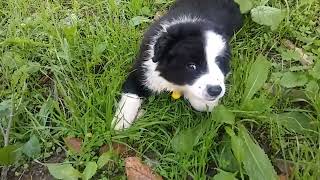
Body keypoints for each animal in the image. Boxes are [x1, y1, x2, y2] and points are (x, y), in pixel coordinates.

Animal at [111, 0, 241, 129]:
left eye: (219, 62)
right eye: (191, 66)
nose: (215, 91)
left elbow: (203, 105)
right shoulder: (142, 70)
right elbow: (130, 95)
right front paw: (120, 124)